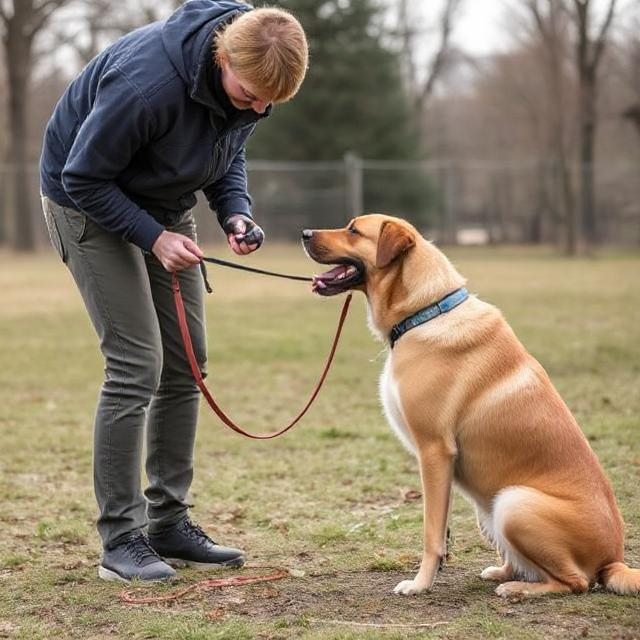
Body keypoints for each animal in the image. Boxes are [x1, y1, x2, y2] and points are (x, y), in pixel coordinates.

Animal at [302, 214, 639, 599]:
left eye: (354, 230)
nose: (305, 234)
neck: (424, 311)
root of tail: (613, 559)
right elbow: (441, 527)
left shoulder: (434, 451)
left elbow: (432, 533)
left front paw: (420, 584)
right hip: (488, 507)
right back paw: (504, 573)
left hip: (513, 503)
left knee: (576, 582)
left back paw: (517, 590)